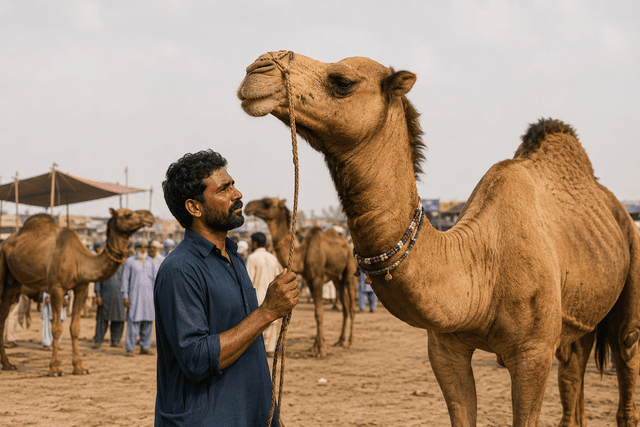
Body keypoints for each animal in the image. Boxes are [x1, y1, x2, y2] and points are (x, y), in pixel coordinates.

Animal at [0, 208, 154, 376]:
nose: (150, 216)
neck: (79, 261)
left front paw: (79, 367)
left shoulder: (82, 288)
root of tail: (4, 243)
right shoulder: (56, 288)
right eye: (128, 214)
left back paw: (7, 364)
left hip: (13, 285)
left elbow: (75, 328)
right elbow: (56, 329)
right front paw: (55, 368)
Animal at [244, 197, 357, 357]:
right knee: (345, 306)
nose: (248, 206)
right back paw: (340, 341)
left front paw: (321, 349)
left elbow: (319, 313)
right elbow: (316, 313)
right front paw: (315, 346)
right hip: (337, 279)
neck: (302, 254)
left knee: (351, 306)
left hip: (349, 270)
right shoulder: (309, 280)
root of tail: (347, 245)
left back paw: (350, 342)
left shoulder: (317, 279)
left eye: (267, 203)